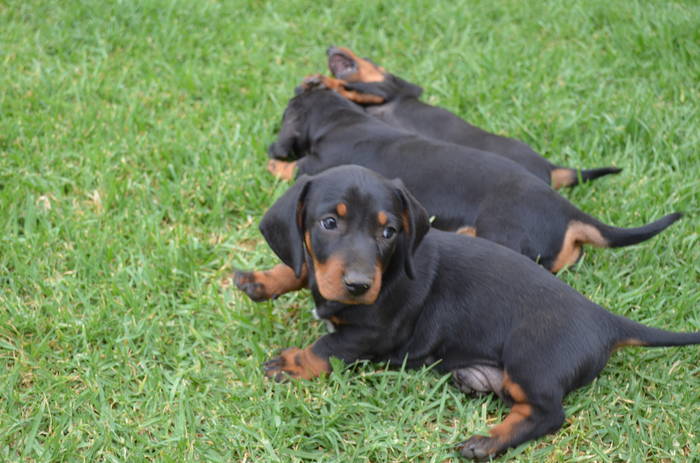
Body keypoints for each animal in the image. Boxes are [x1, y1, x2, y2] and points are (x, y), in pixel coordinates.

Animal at [256, 166, 700, 460]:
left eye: (389, 232)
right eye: (328, 223)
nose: (360, 285)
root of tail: (604, 321)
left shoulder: (373, 334)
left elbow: (326, 346)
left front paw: (291, 363)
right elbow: (301, 269)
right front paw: (261, 280)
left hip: (529, 357)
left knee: (548, 414)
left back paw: (487, 442)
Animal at [266, 83, 680, 274]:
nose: (272, 145)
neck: (342, 120)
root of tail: (566, 210)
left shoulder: (312, 166)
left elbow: (288, 168)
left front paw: (273, 162)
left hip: (503, 236)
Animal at [326, 46, 620, 188]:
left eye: (366, 56)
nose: (329, 47)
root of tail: (549, 167)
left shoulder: (387, 89)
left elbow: (353, 86)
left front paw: (326, 81)